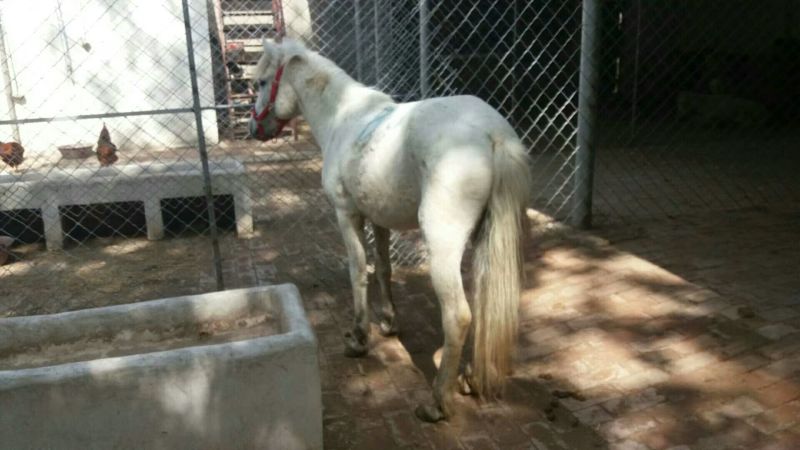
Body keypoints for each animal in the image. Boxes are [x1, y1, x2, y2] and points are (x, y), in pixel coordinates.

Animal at [249, 38, 531, 422]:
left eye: (262, 82)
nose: (254, 131)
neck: (342, 117)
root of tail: (493, 134)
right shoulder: (378, 219)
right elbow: (383, 268)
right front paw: (388, 322)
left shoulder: (347, 215)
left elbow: (358, 272)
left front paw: (359, 338)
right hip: (484, 241)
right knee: (485, 304)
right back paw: (470, 379)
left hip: (442, 245)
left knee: (458, 316)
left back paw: (437, 402)